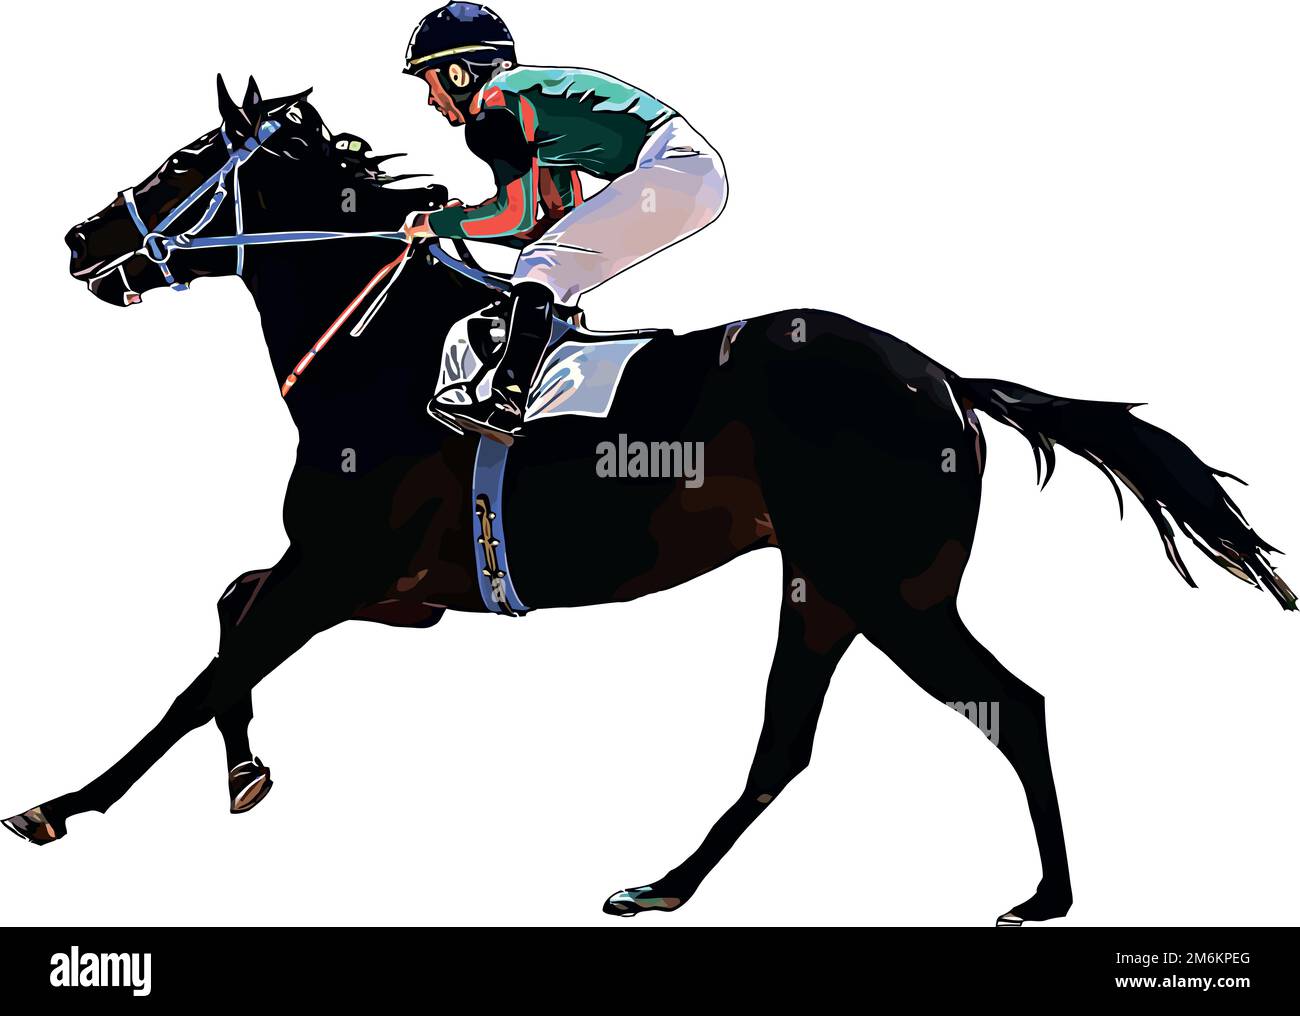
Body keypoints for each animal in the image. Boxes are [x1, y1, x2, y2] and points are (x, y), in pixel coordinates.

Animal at [6, 76, 1292, 926]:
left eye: (183, 165)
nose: (76, 238)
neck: (378, 355)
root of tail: (942, 377)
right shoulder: (389, 586)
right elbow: (228, 609)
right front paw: (244, 773)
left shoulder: (340, 568)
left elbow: (201, 673)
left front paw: (65, 803)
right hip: (826, 584)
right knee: (790, 740)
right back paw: (664, 882)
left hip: (887, 587)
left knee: (1008, 705)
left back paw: (1045, 894)